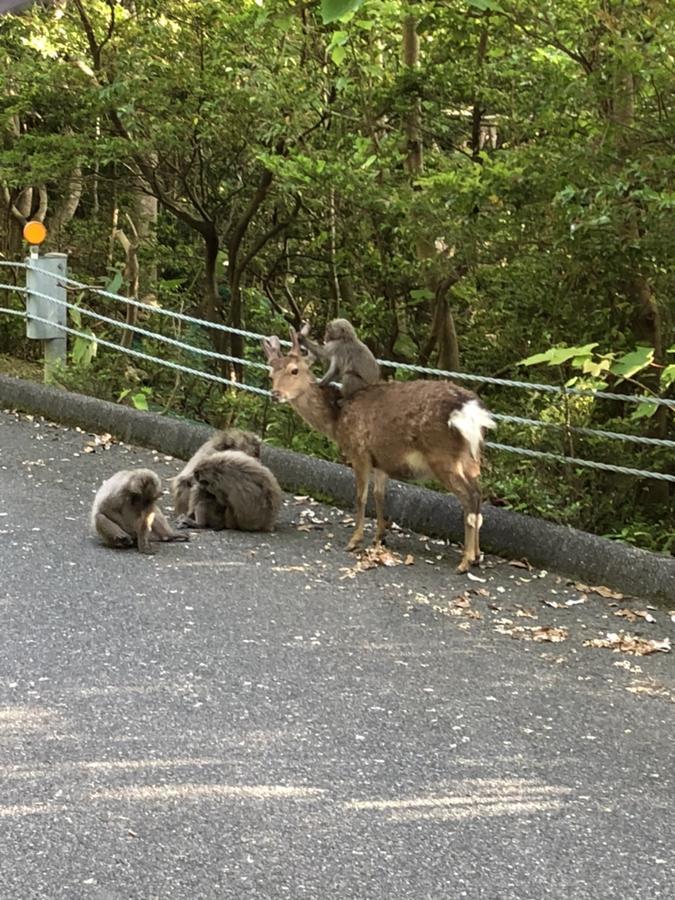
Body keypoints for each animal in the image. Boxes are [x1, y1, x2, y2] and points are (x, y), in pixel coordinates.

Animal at [264, 328, 496, 568]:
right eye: (271, 375)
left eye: (294, 370)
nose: (275, 394)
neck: (336, 423)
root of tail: (470, 411)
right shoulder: (381, 460)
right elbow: (379, 495)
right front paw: (379, 537)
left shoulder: (359, 451)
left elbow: (360, 496)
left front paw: (354, 540)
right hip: (472, 457)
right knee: (478, 494)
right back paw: (477, 555)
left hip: (442, 456)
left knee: (469, 496)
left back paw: (466, 560)